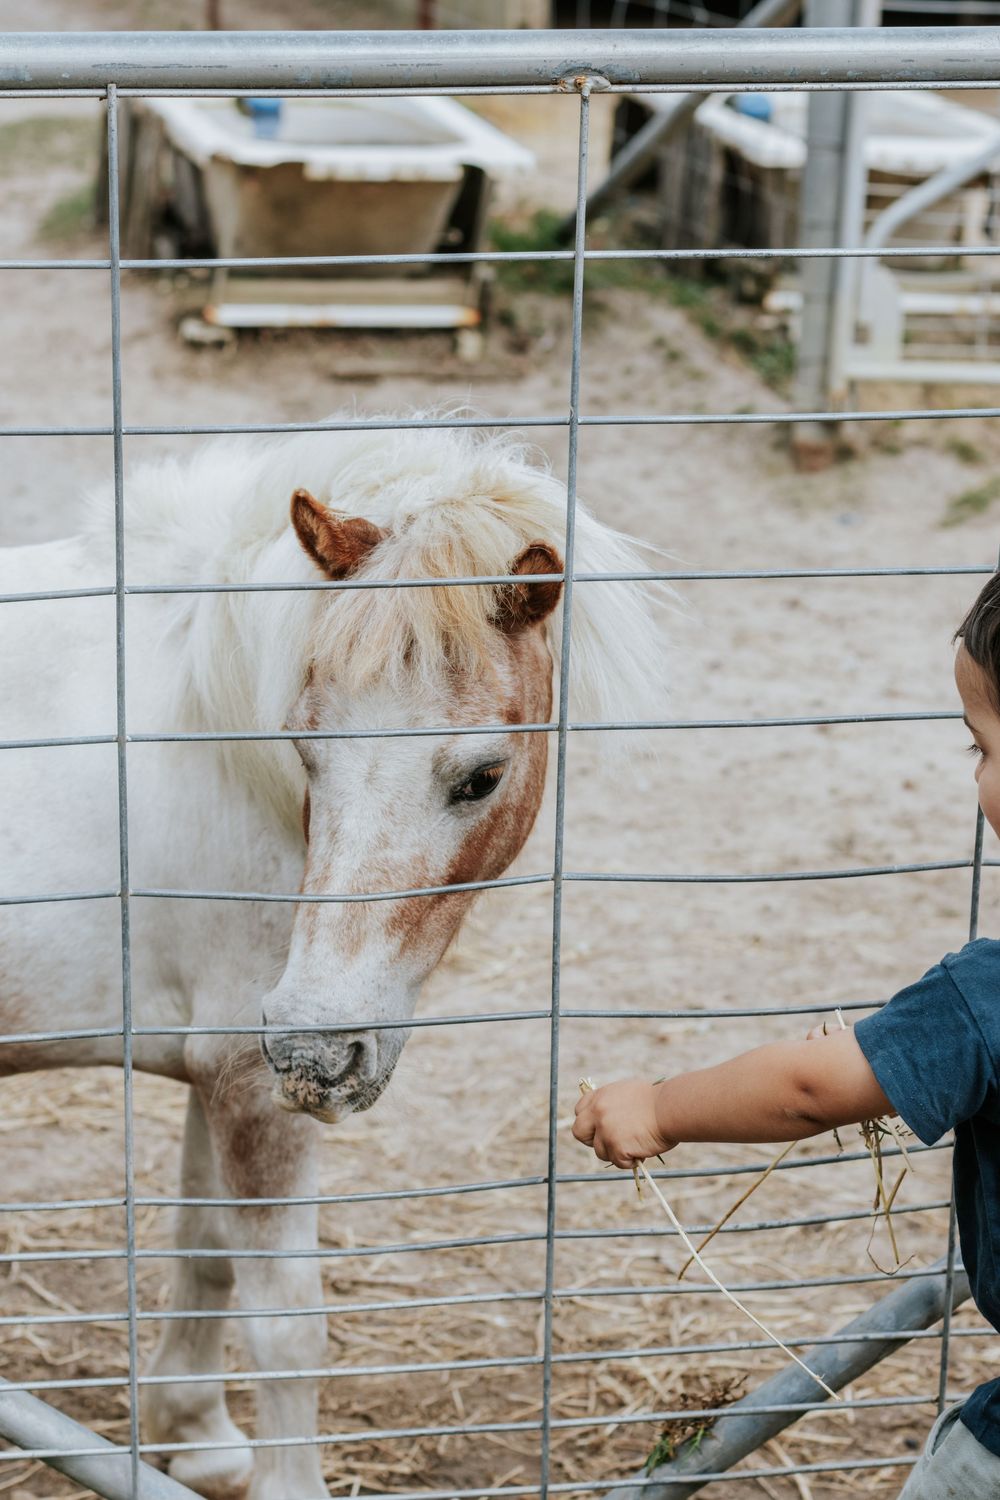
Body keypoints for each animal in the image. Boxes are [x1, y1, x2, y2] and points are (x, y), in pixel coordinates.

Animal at [0, 421, 664, 1500]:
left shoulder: (223, 1063)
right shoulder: (249, 1074)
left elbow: (205, 1249)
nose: (322, 1049)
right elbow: (285, 1325)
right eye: (305, 749)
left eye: (483, 776)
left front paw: (199, 1434)